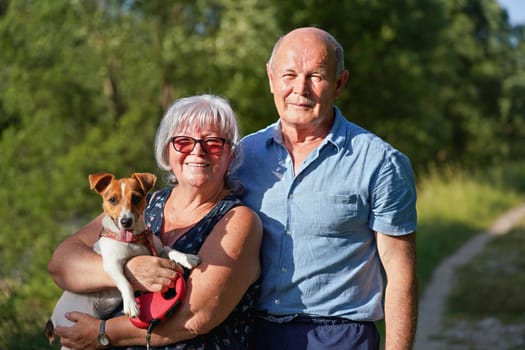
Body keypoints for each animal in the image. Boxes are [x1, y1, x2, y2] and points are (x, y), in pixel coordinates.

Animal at [45, 172, 201, 344]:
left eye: (136, 198)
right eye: (112, 200)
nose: (126, 221)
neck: (133, 241)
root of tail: (52, 320)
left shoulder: (156, 249)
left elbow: (170, 250)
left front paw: (188, 258)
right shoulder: (112, 264)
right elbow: (125, 282)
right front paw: (131, 305)